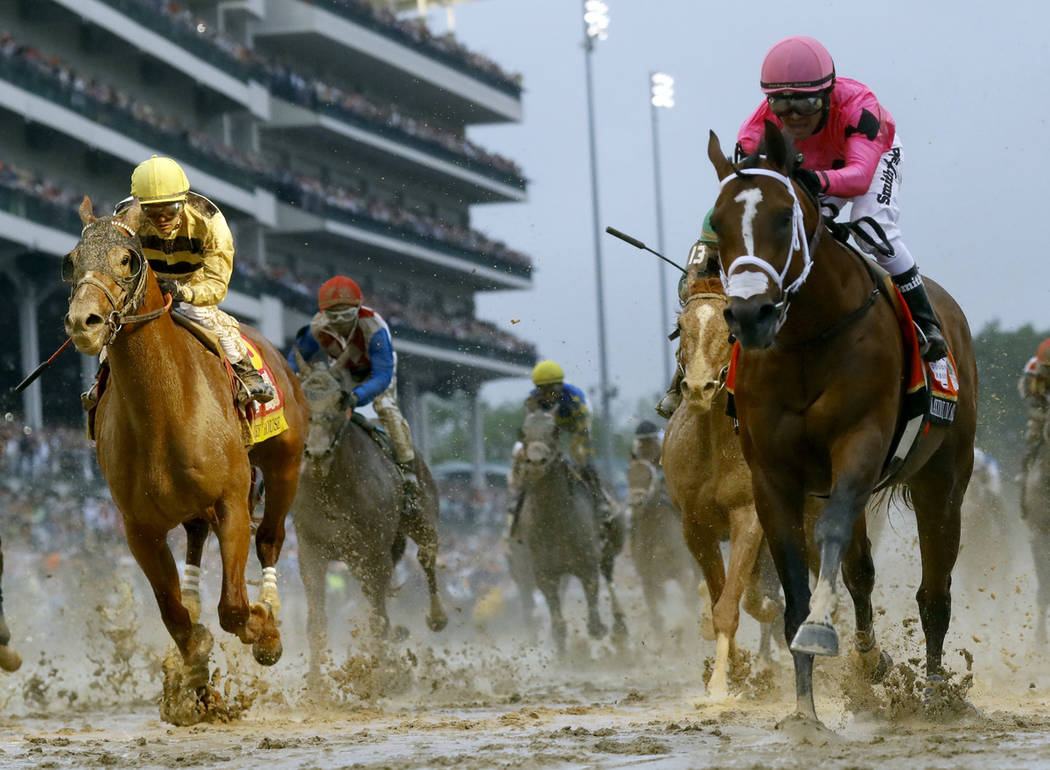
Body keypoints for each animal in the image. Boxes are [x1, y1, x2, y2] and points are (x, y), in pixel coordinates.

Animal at [62, 196, 306, 714]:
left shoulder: (232, 501)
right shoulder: (139, 529)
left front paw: (263, 629)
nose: (82, 323)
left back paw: (270, 608)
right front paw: (196, 678)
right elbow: (174, 615)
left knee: (270, 537)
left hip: (285, 466)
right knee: (194, 539)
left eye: (128, 259)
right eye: (70, 261)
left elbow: (233, 608)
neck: (163, 410)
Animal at [291, 350, 447, 676]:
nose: (316, 454)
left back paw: (437, 617)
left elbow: (378, 621)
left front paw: (382, 675)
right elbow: (317, 623)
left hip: (421, 520)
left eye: (341, 400)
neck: (334, 490)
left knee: (427, 555)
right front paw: (315, 683)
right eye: (302, 396)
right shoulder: (311, 550)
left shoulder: (374, 554)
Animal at [514, 411, 621, 651]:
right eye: (522, 433)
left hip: (608, 551)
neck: (555, 522)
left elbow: (594, 622)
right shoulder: (544, 572)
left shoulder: (587, 563)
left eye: (555, 431)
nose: (536, 462)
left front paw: (600, 628)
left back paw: (621, 627)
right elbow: (558, 626)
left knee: (609, 578)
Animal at [659, 268, 785, 697]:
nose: (698, 388)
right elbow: (721, 599)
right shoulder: (694, 526)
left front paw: (717, 687)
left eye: (730, 332)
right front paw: (733, 672)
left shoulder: (748, 516)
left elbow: (732, 604)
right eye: (679, 329)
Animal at [705, 122, 974, 722]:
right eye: (718, 222)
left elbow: (827, 543)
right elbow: (794, 581)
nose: (751, 315)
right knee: (861, 573)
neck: (807, 339)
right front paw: (806, 711)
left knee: (935, 592)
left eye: (784, 217)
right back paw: (871, 662)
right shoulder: (772, 475)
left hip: (944, 478)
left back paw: (933, 692)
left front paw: (820, 632)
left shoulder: (860, 443)